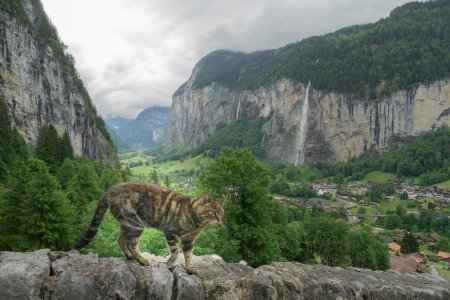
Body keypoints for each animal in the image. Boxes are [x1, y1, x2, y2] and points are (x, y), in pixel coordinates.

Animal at [74, 182, 229, 276]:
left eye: (221, 212)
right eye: (212, 212)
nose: (219, 219)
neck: (197, 223)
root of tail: (110, 189)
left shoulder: (188, 240)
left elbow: (188, 256)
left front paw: (190, 269)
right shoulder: (171, 233)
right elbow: (175, 252)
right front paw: (169, 264)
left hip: (128, 224)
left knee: (121, 239)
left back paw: (130, 256)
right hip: (135, 224)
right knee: (132, 244)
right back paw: (142, 260)